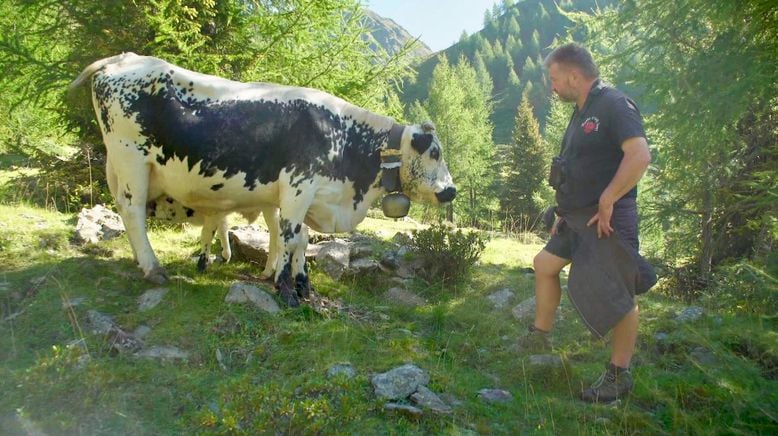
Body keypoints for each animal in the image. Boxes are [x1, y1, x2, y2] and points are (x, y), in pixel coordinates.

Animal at [72, 52, 454, 306]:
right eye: (435, 152)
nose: (450, 191)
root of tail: (126, 58)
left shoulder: (309, 195)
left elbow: (302, 241)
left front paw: (303, 286)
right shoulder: (298, 186)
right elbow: (287, 237)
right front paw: (286, 290)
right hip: (132, 159)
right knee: (133, 211)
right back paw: (153, 268)